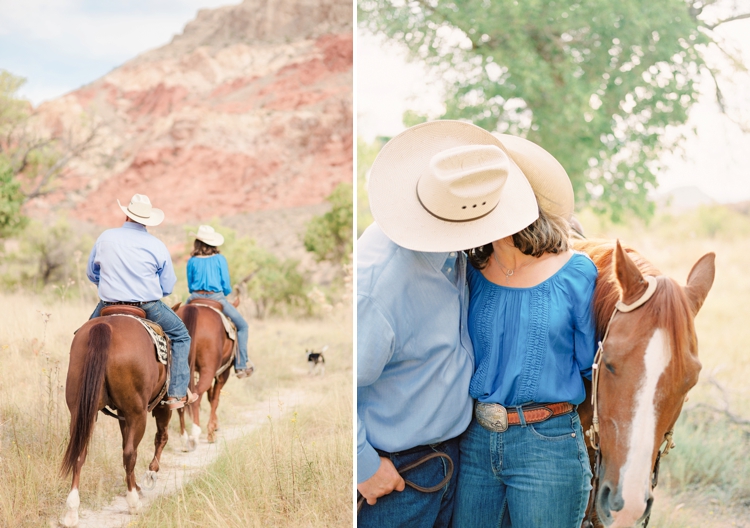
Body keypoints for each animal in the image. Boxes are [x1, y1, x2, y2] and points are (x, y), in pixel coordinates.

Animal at [60, 312, 172, 524]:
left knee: (79, 453)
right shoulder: (159, 404)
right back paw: (133, 503)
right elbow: (159, 436)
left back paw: (71, 511)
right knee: (130, 453)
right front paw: (150, 473)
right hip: (137, 413)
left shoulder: (122, 414)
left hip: (81, 412)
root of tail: (105, 326)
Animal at [175, 302, 236, 450]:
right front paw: (211, 432)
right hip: (208, 371)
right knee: (196, 395)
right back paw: (195, 434)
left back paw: (184, 438)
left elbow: (209, 396)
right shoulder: (222, 374)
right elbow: (215, 399)